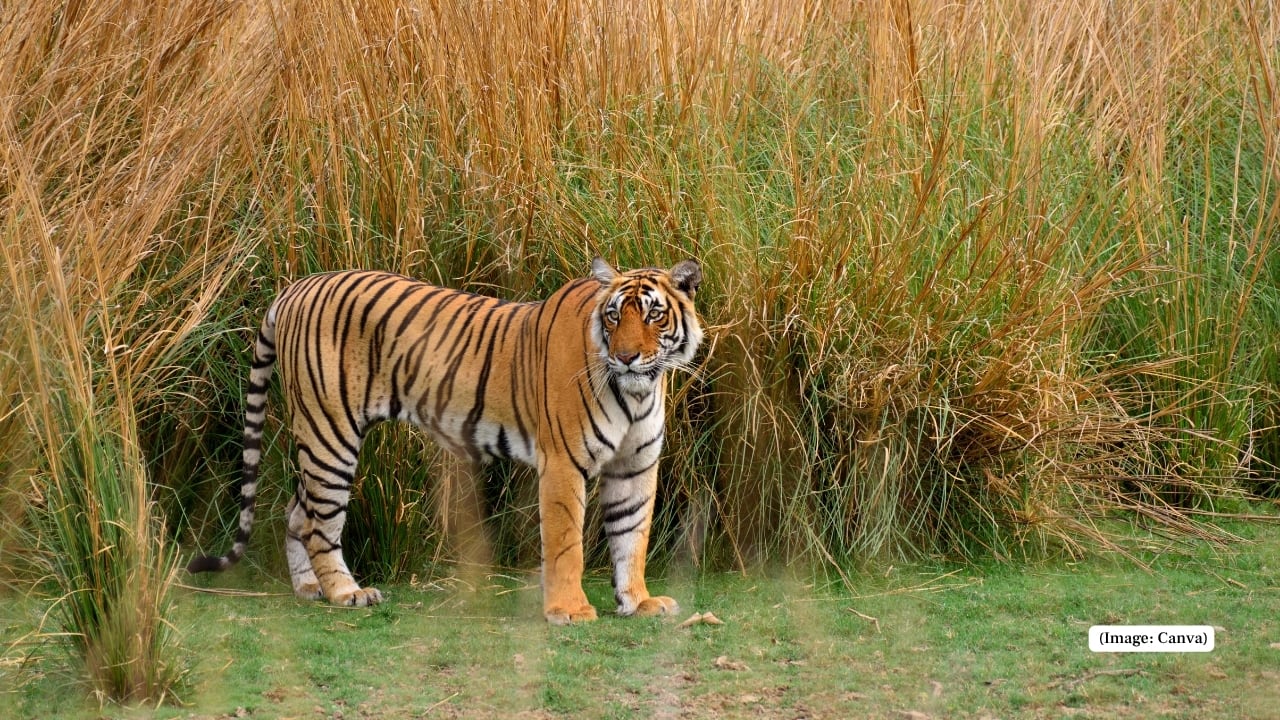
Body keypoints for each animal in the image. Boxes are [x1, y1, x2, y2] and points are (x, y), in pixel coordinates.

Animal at [188, 258, 704, 624]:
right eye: (614, 317)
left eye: (654, 316)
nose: (626, 357)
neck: (638, 390)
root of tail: (296, 286)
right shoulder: (563, 462)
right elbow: (565, 543)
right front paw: (569, 611)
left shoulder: (635, 466)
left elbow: (631, 536)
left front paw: (638, 602)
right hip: (328, 431)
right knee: (321, 522)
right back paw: (346, 592)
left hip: (319, 438)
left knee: (297, 512)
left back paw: (309, 588)